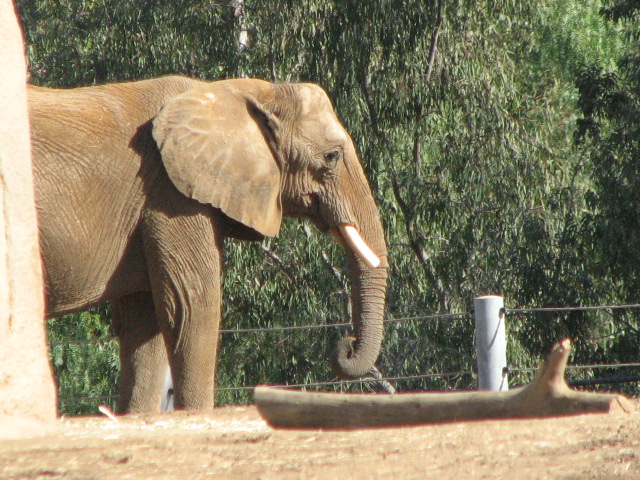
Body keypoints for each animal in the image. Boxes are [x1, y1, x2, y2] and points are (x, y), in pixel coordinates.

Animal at [27, 76, 388, 413]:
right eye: (332, 156)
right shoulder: (172, 195)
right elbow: (191, 304)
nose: (346, 343)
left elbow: (144, 319)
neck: (245, 91)